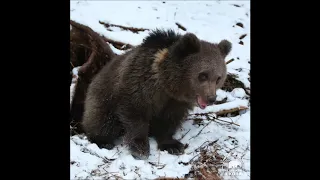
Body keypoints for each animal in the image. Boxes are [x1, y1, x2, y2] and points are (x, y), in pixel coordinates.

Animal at [82, 28, 232, 160]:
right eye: (203, 75)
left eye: (218, 78)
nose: (211, 98)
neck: (168, 84)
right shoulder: (138, 86)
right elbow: (135, 115)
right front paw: (140, 148)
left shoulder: (176, 103)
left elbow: (168, 122)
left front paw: (172, 145)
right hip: (103, 98)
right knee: (102, 121)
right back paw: (102, 140)